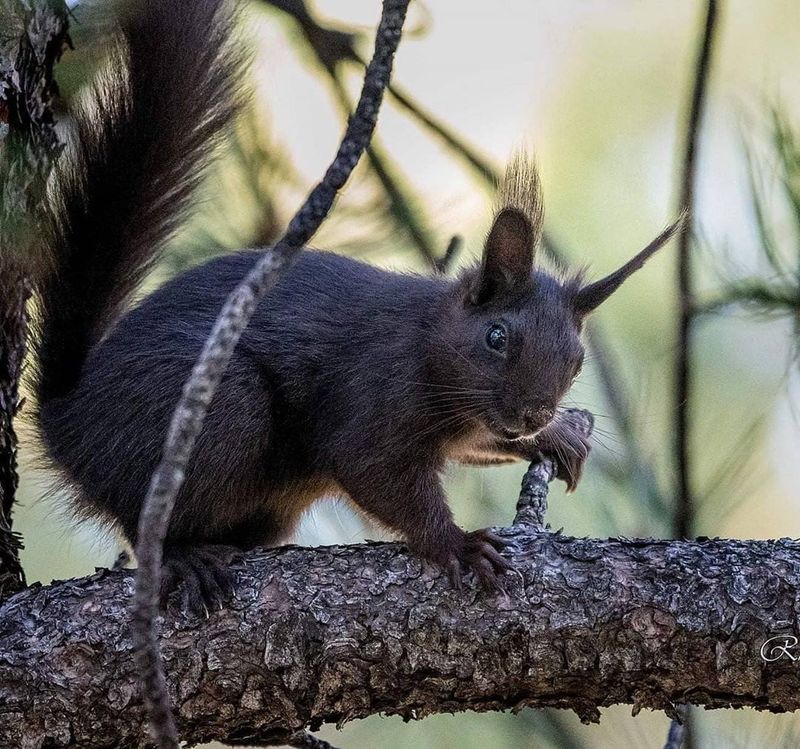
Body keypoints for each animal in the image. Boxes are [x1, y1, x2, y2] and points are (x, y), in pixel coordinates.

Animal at [32, 0, 680, 612]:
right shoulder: (372, 390)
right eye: (497, 337)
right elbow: (374, 470)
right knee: (145, 517)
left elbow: (477, 445)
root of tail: (67, 419)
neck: (427, 341)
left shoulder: (466, 426)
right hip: (216, 406)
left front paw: (557, 437)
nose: (534, 414)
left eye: (577, 360)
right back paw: (184, 555)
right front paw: (457, 543)